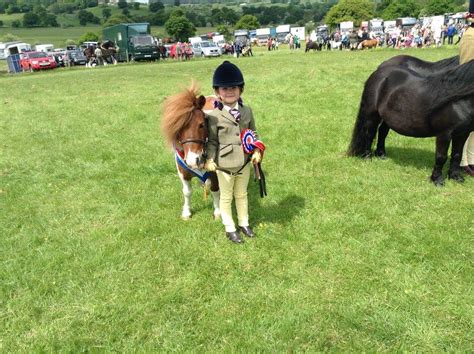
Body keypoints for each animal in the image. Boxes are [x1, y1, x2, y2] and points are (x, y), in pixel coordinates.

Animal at [161, 84, 220, 220]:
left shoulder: (214, 172)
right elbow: (187, 192)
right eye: (178, 127)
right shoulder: (183, 173)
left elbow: (215, 190)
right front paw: (186, 212)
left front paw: (218, 212)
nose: (193, 160)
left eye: (202, 124)